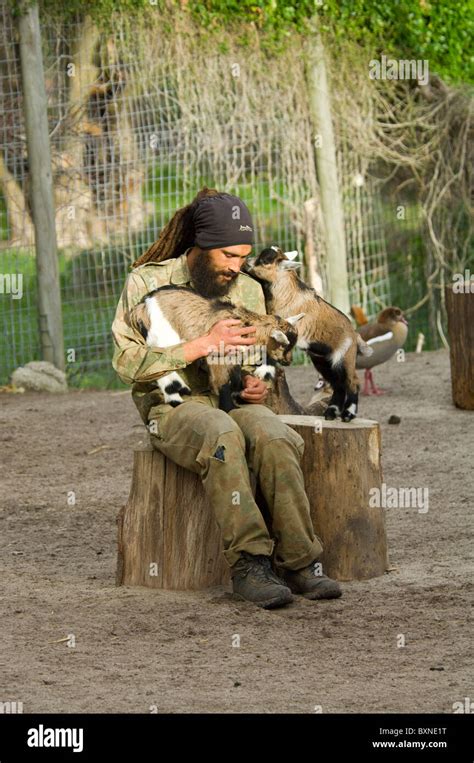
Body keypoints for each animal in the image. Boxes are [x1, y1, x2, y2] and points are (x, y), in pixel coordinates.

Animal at [129, 284, 304, 412]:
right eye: (284, 346)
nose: (288, 361)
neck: (244, 323)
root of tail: (141, 307)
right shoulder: (219, 355)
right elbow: (222, 382)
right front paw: (229, 408)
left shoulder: (235, 357)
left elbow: (235, 376)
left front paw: (240, 392)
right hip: (164, 337)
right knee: (161, 363)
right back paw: (177, 396)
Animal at [246, 246, 372, 420]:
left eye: (265, 260)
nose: (247, 261)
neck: (287, 294)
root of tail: (355, 335)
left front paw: (263, 369)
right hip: (323, 361)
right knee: (338, 384)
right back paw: (331, 412)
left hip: (344, 358)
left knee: (353, 382)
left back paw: (348, 414)